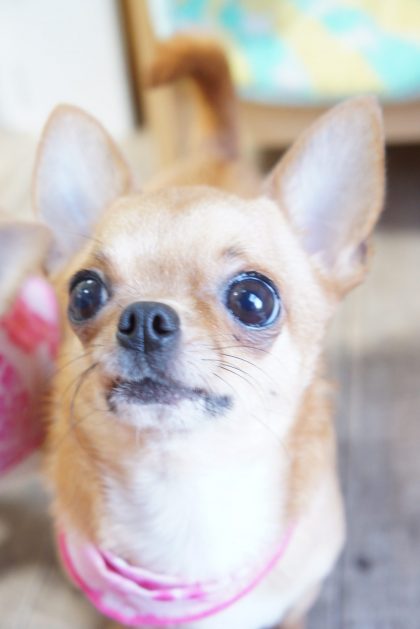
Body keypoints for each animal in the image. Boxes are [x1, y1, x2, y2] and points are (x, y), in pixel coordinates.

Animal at [33, 36, 385, 629]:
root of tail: (218, 147)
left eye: (254, 300)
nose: (145, 318)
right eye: (84, 294)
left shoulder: (301, 594)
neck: (186, 489)